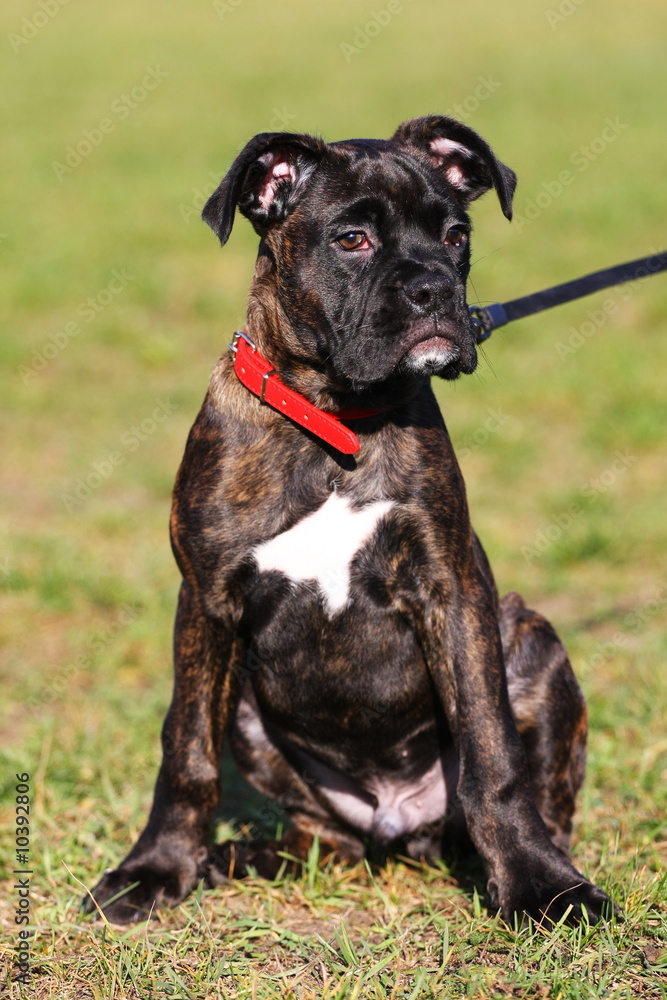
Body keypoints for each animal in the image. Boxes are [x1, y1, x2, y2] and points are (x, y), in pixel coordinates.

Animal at [88, 119, 616, 928]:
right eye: (352, 239)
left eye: (456, 235)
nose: (437, 288)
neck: (335, 419)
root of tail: (400, 824)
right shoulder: (206, 602)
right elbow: (186, 749)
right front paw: (155, 870)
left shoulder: (451, 590)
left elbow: (493, 753)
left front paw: (539, 884)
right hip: (250, 711)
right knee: (326, 840)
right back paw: (233, 860)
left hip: (530, 638)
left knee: (534, 798)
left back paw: (527, 862)